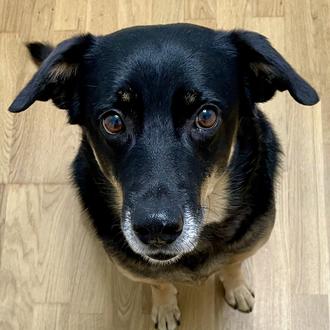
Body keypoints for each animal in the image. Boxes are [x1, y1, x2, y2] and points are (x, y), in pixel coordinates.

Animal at [9, 23, 318, 330]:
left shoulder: (249, 241)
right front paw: (166, 308)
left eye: (206, 116)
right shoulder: (139, 268)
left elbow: (233, 264)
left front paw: (237, 287)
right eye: (113, 121)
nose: (156, 229)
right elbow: (159, 283)